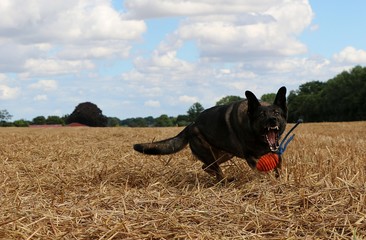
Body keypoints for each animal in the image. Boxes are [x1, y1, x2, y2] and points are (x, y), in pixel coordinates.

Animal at [133, 87, 288, 181]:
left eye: (277, 113)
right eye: (261, 115)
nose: (272, 120)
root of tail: (191, 125)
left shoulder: (276, 151)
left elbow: (279, 166)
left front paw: (280, 181)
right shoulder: (251, 157)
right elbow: (260, 173)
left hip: (225, 154)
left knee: (206, 167)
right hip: (210, 154)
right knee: (214, 170)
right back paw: (224, 181)